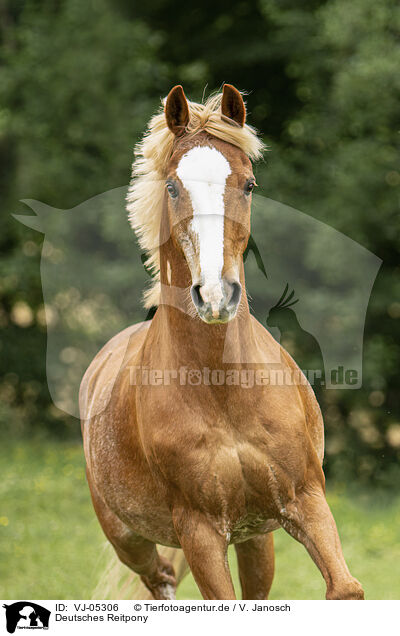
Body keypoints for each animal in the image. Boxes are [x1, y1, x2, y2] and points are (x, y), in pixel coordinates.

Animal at [79, 84, 364, 600]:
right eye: (173, 186)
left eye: (248, 184)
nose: (215, 295)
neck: (224, 390)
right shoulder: (200, 531)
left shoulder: (306, 501)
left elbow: (345, 590)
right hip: (129, 538)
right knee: (161, 579)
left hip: (255, 538)